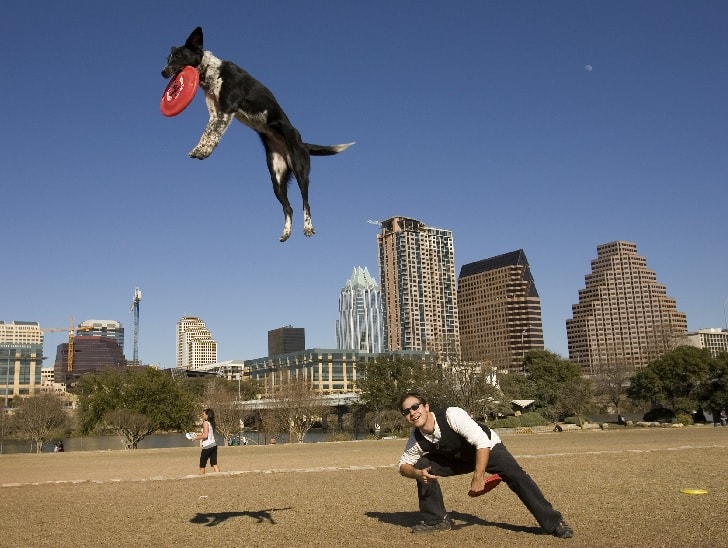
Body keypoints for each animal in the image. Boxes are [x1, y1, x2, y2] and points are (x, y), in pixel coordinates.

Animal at [161, 25, 352, 240]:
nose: (162, 72)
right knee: (288, 208)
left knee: (306, 202)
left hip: (301, 170)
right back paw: (286, 232)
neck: (210, 71)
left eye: (178, 57)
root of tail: (302, 143)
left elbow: (214, 134)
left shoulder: (226, 110)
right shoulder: (214, 113)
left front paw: (205, 151)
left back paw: (308, 227)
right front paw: (199, 149)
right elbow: (206, 133)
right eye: (168, 58)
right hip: (276, 178)